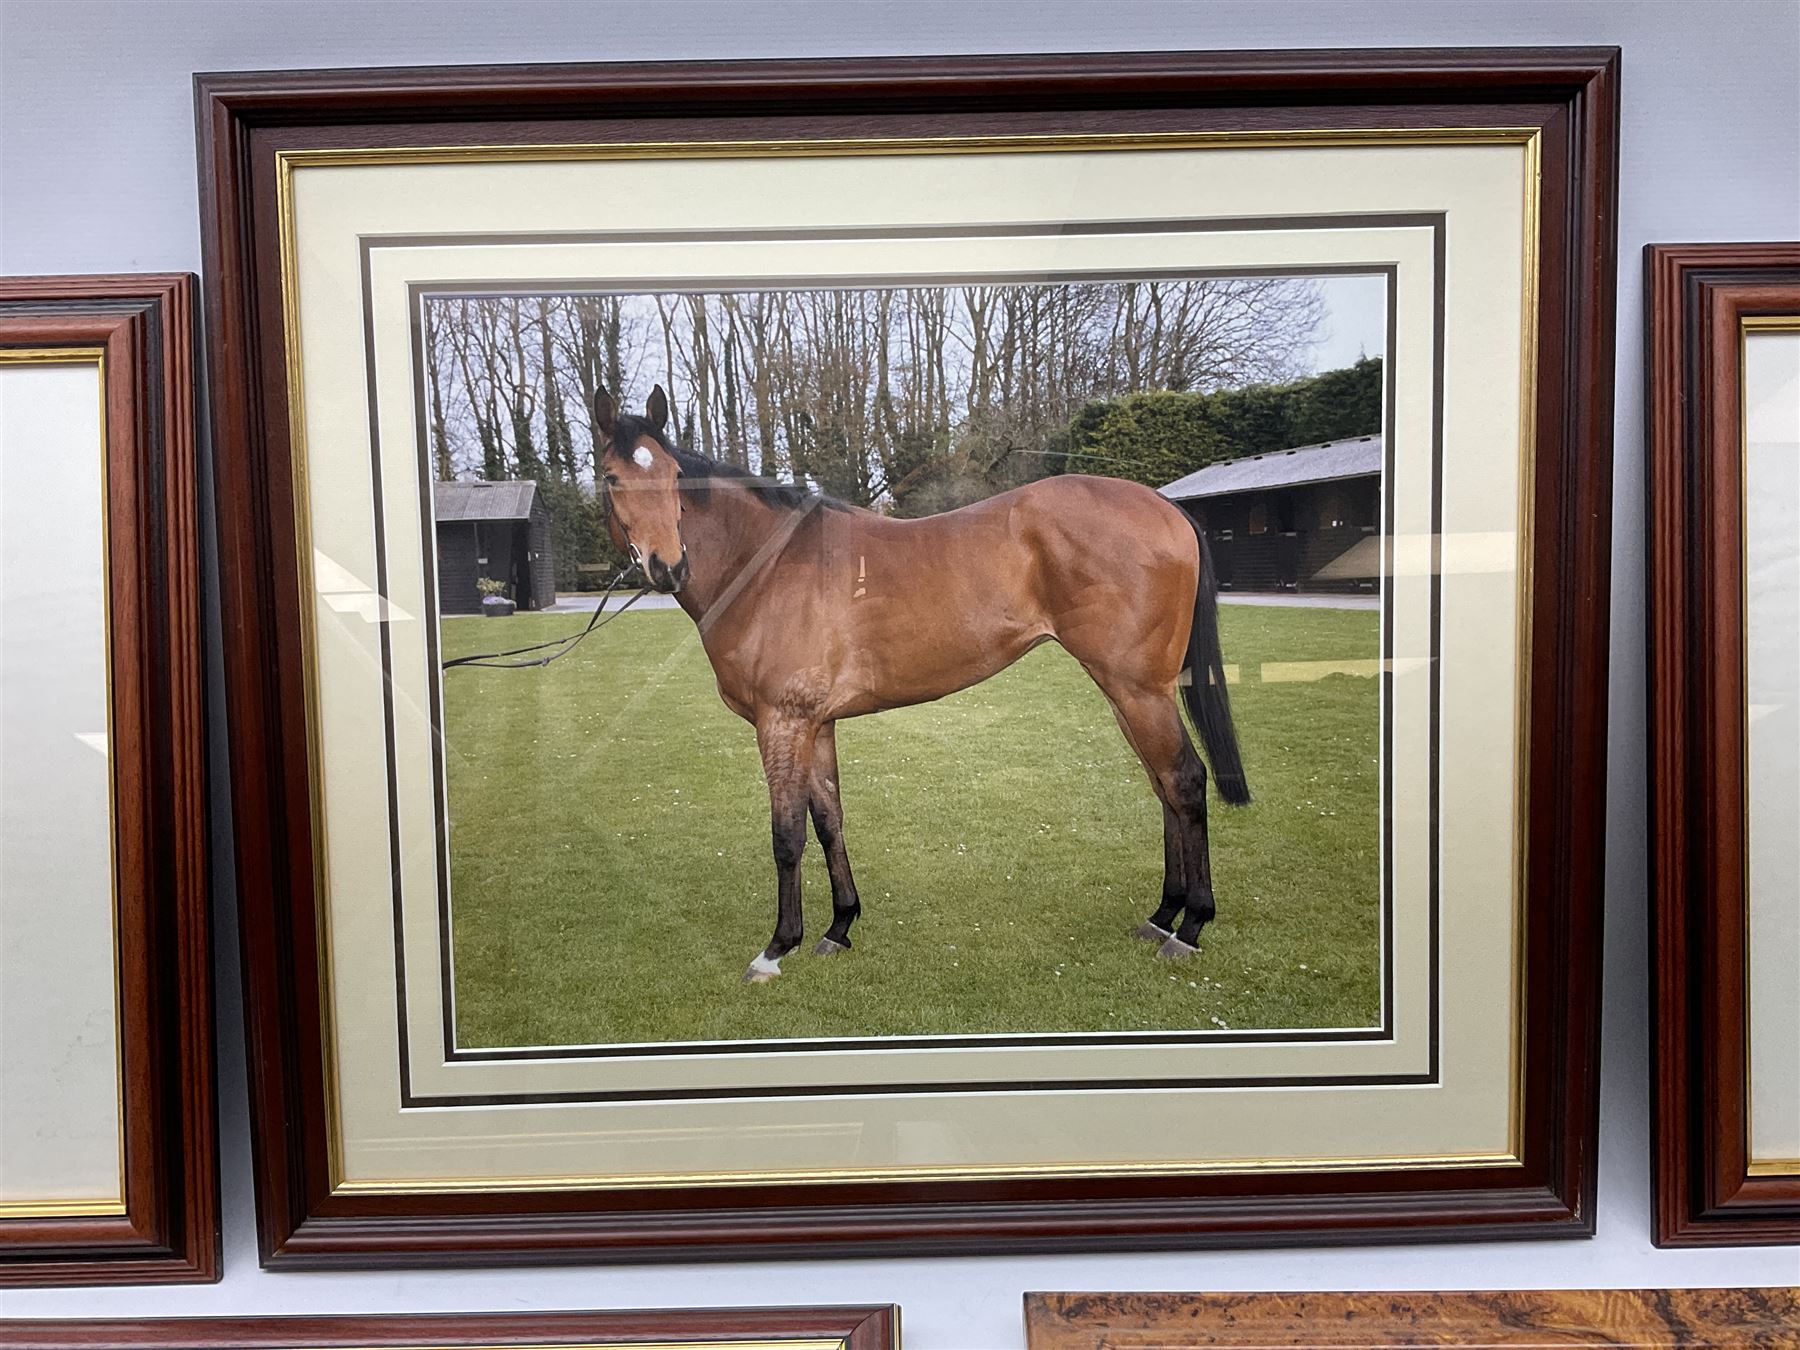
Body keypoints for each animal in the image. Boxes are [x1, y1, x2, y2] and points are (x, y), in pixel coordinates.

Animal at [594, 385, 1251, 984]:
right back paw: (1162, 916)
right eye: (610, 477)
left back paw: (1190, 927)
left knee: (1184, 781)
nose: (667, 567)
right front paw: (839, 926)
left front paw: (777, 948)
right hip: (1128, 692)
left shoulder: (782, 721)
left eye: (676, 476)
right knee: (1163, 784)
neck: (767, 566)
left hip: (1138, 690)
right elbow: (828, 819)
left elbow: (787, 835)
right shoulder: (816, 723)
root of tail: (1166, 507)